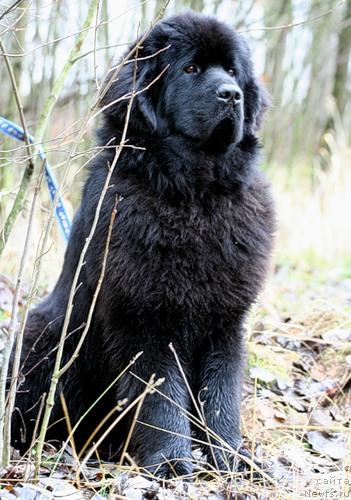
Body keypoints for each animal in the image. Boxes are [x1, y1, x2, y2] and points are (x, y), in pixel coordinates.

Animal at [11, 11, 276, 476]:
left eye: (232, 71)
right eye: (190, 69)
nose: (232, 95)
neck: (194, 196)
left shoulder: (225, 321)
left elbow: (221, 394)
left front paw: (230, 456)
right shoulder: (145, 320)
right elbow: (161, 395)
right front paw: (171, 461)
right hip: (41, 339)